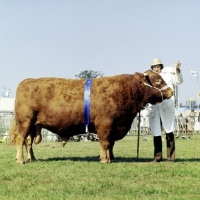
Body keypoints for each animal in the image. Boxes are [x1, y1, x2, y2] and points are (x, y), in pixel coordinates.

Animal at [9, 69, 173, 163]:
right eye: (158, 80)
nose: (171, 91)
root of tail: (27, 81)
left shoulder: (114, 126)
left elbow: (111, 144)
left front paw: (111, 158)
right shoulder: (105, 124)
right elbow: (105, 143)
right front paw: (104, 159)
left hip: (32, 125)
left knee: (28, 142)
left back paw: (32, 158)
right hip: (25, 121)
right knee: (20, 139)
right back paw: (21, 160)